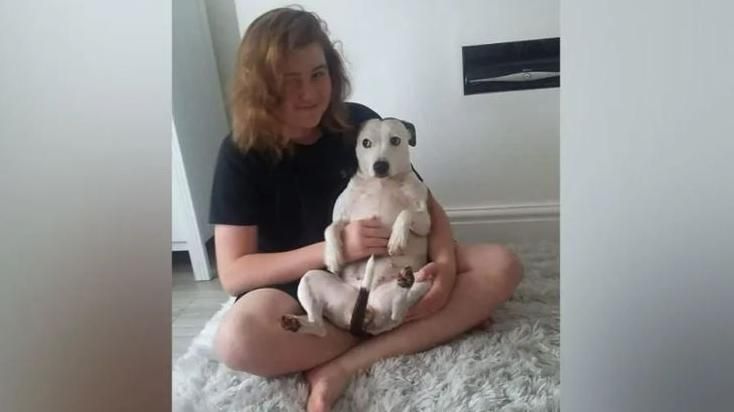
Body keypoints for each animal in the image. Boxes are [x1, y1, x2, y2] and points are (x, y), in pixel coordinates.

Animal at [280, 117, 432, 336]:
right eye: (366, 143)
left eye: (395, 140)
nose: (380, 166)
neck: (382, 183)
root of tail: (367, 317)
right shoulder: (340, 217)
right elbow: (330, 229)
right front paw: (334, 257)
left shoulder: (424, 220)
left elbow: (406, 213)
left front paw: (397, 239)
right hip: (310, 279)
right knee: (320, 327)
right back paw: (296, 323)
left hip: (423, 283)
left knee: (399, 311)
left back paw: (406, 281)